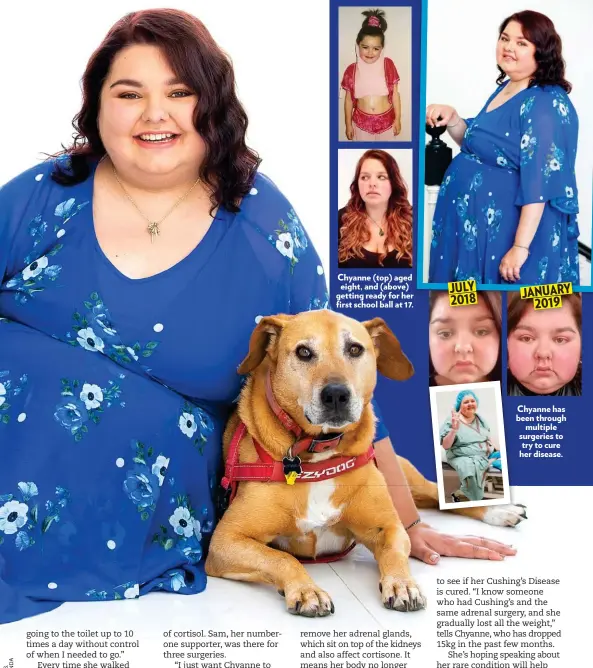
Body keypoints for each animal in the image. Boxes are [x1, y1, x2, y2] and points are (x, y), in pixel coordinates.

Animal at [206, 310, 524, 620]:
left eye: (355, 349)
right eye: (304, 352)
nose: (336, 394)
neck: (320, 455)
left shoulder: (389, 526)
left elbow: (395, 552)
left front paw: (403, 584)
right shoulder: (225, 541)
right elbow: (281, 557)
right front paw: (307, 590)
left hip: (408, 479)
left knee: (439, 493)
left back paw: (500, 511)